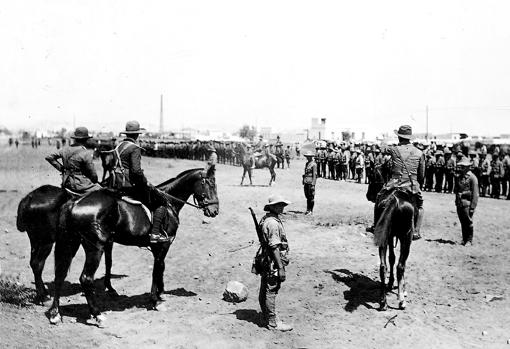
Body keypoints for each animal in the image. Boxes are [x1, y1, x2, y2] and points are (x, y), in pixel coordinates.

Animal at [48, 167, 221, 324]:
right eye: (211, 184)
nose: (215, 211)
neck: (169, 202)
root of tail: (75, 202)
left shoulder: (158, 248)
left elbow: (161, 268)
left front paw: (160, 293)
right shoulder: (163, 245)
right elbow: (157, 269)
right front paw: (155, 300)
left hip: (71, 243)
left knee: (59, 275)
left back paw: (55, 313)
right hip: (95, 248)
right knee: (86, 278)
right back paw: (97, 314)